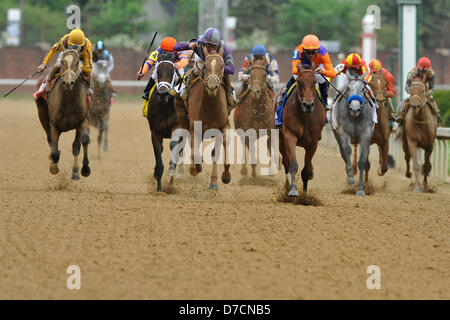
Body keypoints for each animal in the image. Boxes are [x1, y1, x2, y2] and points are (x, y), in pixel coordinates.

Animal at [35, 49, 92, 180]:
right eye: (62, 62)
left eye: (78, 62)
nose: (68, 82)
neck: (69, 100)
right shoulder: (55, 125)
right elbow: (55, 150)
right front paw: (53, 167)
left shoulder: (82, 121)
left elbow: (83, 141)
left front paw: (84, 169)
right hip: (42, 112)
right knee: (49, 139)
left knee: (75, 145)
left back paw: (75, 171)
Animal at [146, 53, 185, 191]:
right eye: (157, 71)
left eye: (172, 71)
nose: (163, 94)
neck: (166, 106)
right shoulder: (155, 133)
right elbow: (159, 159)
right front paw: (158, 190)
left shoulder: (178, 127)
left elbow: (174, 146)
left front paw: (171, 173)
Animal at [186, 52, 230, 190]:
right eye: (205, 65)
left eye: (222, 66)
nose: (211, 87)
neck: (210, 107)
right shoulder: (194, 128)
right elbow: (195, 152)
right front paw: (195, 168)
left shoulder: (223, 127)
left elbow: (217, 153)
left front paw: (221, 178)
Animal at [276, 62, 326, 196]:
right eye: (299, 82)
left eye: (314, 82)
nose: (308, 105)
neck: (305, 116)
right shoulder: (290, 136)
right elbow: (293, 164)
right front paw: (293, 190)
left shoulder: (314, 141)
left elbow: (306, 170)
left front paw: (305, 195)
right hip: (281, 140)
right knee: (286, 162)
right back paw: (287, 185)